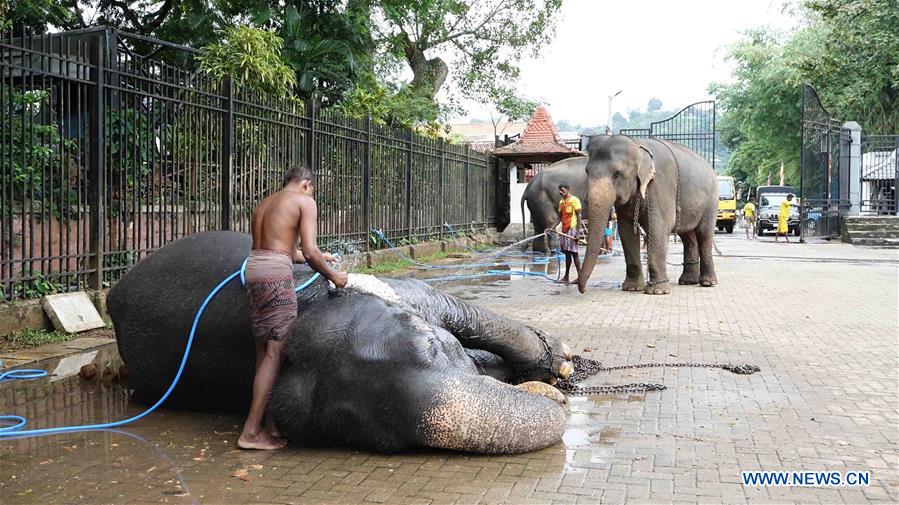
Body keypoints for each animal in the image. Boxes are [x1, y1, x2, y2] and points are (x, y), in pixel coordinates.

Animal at [107, 231, 575, 455]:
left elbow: (460, 312)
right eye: (381, 437)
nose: (555, 398)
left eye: (433, 346)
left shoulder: (407, 292)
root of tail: (114, 292)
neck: (306, 307)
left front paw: (560, 362)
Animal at [578, 135, 718, 295]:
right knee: (688, 236)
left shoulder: (661, 185)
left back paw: (708, 282)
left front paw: (657, 291)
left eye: (618, 173)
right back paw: (687, 281)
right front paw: (632, 288)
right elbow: (627, 231)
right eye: (587, 172)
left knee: (704, 233)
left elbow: (658, 228)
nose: (583, 289)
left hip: (711, 202)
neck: (638, 145)